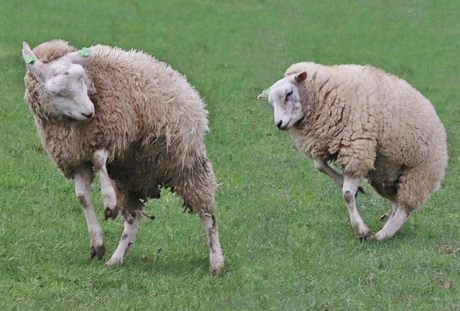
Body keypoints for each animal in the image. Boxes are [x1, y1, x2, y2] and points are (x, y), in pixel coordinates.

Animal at [22, 39, 225, 272]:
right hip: (129, 175)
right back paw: (116, 257)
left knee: (207, 215)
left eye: (82, 78)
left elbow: (99, 160)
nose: (89, 112)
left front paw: (109, 204)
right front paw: (97, 243)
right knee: (133, 218)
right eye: (56, 92)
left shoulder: (115, 134)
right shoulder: (77, 157)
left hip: (186, 163)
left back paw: (216, 261)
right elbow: (82, 197)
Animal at [256, 61, 448, 241]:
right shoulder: (326, 143)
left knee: (404, 207)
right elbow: (320, 165)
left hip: (419, 173)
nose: (279, 124)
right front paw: (351, 186)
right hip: (385, 176)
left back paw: (383, 235)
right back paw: (387, 229)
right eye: (271, 102)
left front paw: (361, 230)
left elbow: (347, 195)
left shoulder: (356, 149)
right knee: (397, 203)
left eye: (289, 94)